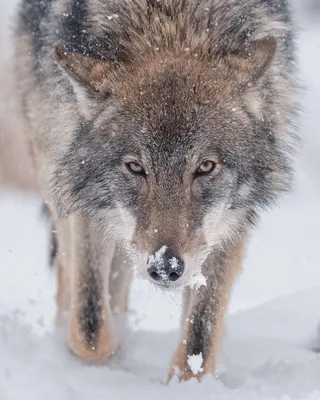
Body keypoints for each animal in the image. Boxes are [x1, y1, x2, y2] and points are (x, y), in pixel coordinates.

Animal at [5, 0, 298, 382]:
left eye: (205, 167)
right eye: (135, 167)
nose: (164, 266)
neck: (171, 23)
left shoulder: (231, 222)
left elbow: (199, 340)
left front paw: (186, 383)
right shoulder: (85, 200)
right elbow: (89, 327)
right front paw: (109, 355)